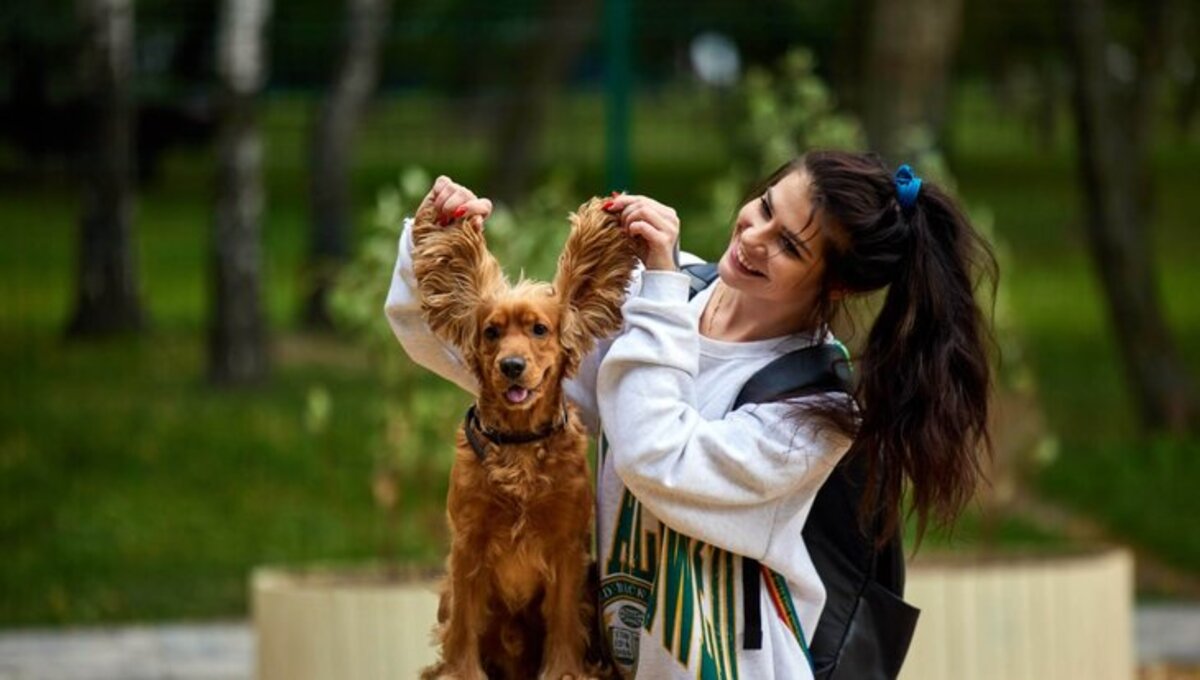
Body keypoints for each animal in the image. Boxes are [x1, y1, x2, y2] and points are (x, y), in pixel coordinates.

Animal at [412, 197, 638, 680]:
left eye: (539, 329)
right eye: (491, 332)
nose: (512, 366)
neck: (518, 445)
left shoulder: (567, 546)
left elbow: (564, 620)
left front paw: (566, 671)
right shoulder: (468, 543)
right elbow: (463, 625)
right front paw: (460, 673)